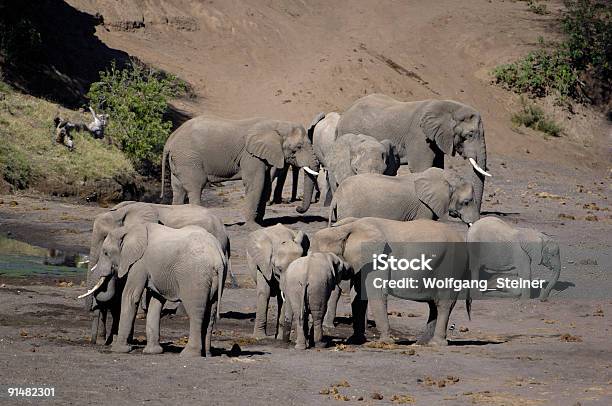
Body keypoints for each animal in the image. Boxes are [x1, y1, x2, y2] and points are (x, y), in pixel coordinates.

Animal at [160, 116, 318, 225]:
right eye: (298, 147)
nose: (297, 208)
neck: (277, 124)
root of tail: (169, 140)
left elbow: (266, 184)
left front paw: (260, 222)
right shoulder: (250, 155)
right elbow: (256, 183)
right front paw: (253, 226)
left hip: (180, 161)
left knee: (178, 190)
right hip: (189, 159)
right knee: (195, 188)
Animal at [314, 217, 470, 348]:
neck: (344, 229)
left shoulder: (379, 259)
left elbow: (375, 293)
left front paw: (385, 342)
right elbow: (358, 296)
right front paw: (355, 340)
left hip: (451, 264)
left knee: (443, 302)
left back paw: (436, 344)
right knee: (433, 305)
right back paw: (421, 343)